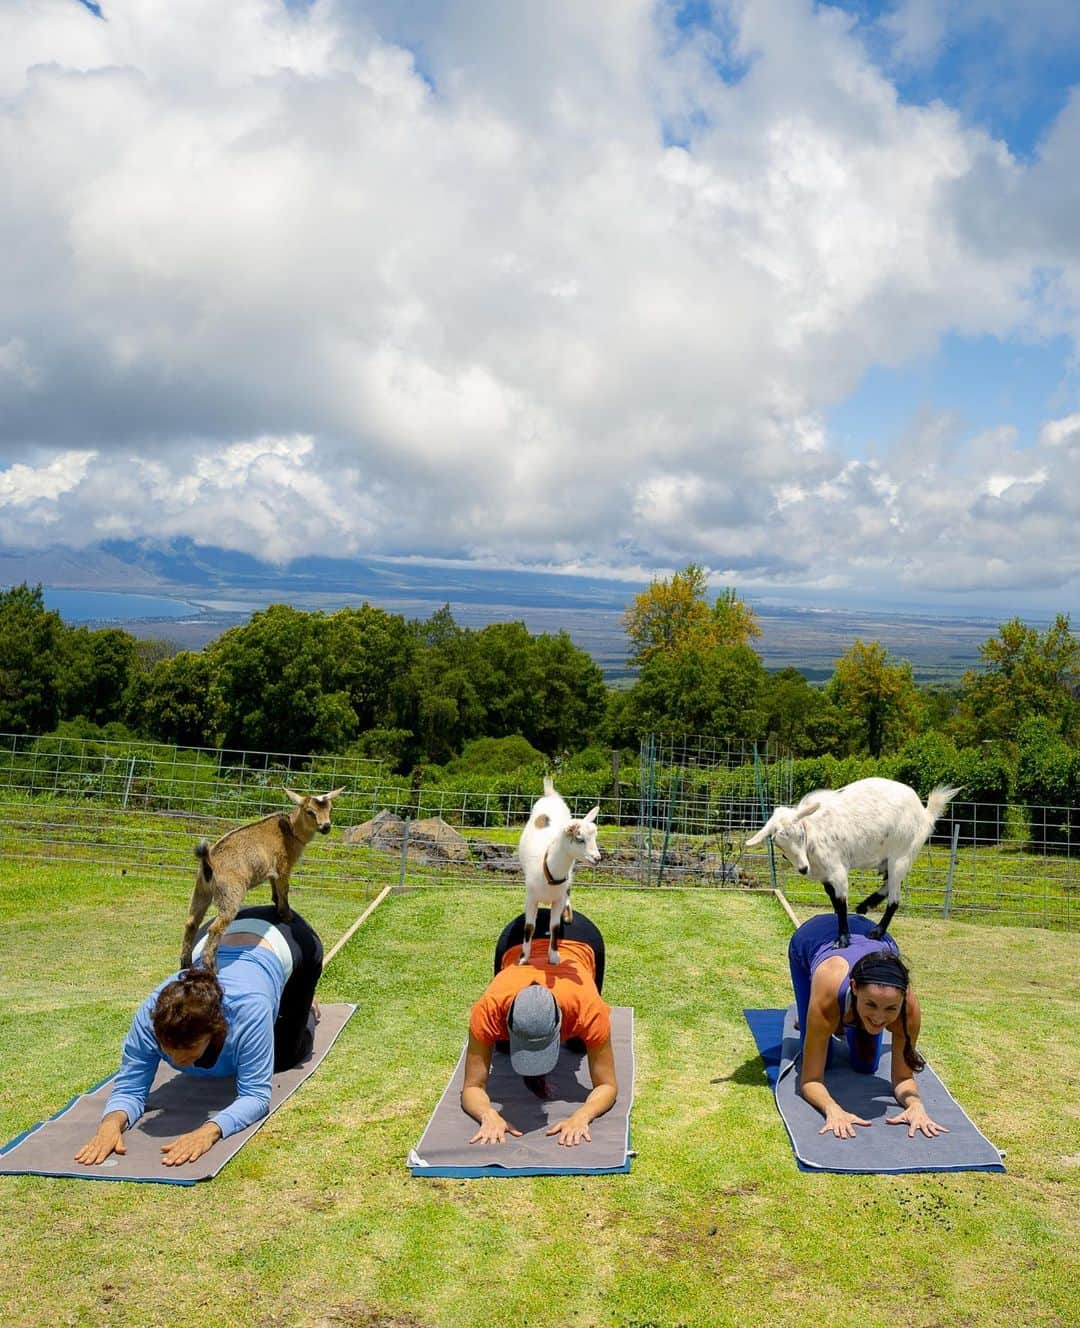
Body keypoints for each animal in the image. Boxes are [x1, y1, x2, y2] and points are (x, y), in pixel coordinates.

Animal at [179, 780, 342, 972]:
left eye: (331, 809)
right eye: (310, 811)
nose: (326, 826)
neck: (291, 830)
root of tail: (208, 862)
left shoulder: (272, 869)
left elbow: (275, 888)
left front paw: (275, 902)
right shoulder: (283, 866)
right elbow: (284, 890)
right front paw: (286, 915)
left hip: (201, 890)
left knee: (191, 922)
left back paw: (185, 964)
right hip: (230, 893)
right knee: (215, 927)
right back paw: (212, 967)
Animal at [512, 775, 597, 966]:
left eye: (595, 837)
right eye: (579, 838)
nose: (597, 858)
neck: (548, 873)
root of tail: (550, 794)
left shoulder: (558, 898)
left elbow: (555, 926)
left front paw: (554, 957)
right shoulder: (531, 897)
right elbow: (529, 926)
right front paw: (523, 958)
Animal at [743, 775, 956, 950]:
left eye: (801, 834)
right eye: (778, 843)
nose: (803, 868)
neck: (814, 833)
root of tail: (925, 813)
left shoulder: (837, 870)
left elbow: (841, 901)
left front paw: (843, 939)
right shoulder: (824, 876)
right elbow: (834, 901)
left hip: (901, 854)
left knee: (895, 898)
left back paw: (877, 931)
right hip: (890, 860)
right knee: (888, 884)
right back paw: (865, 906)